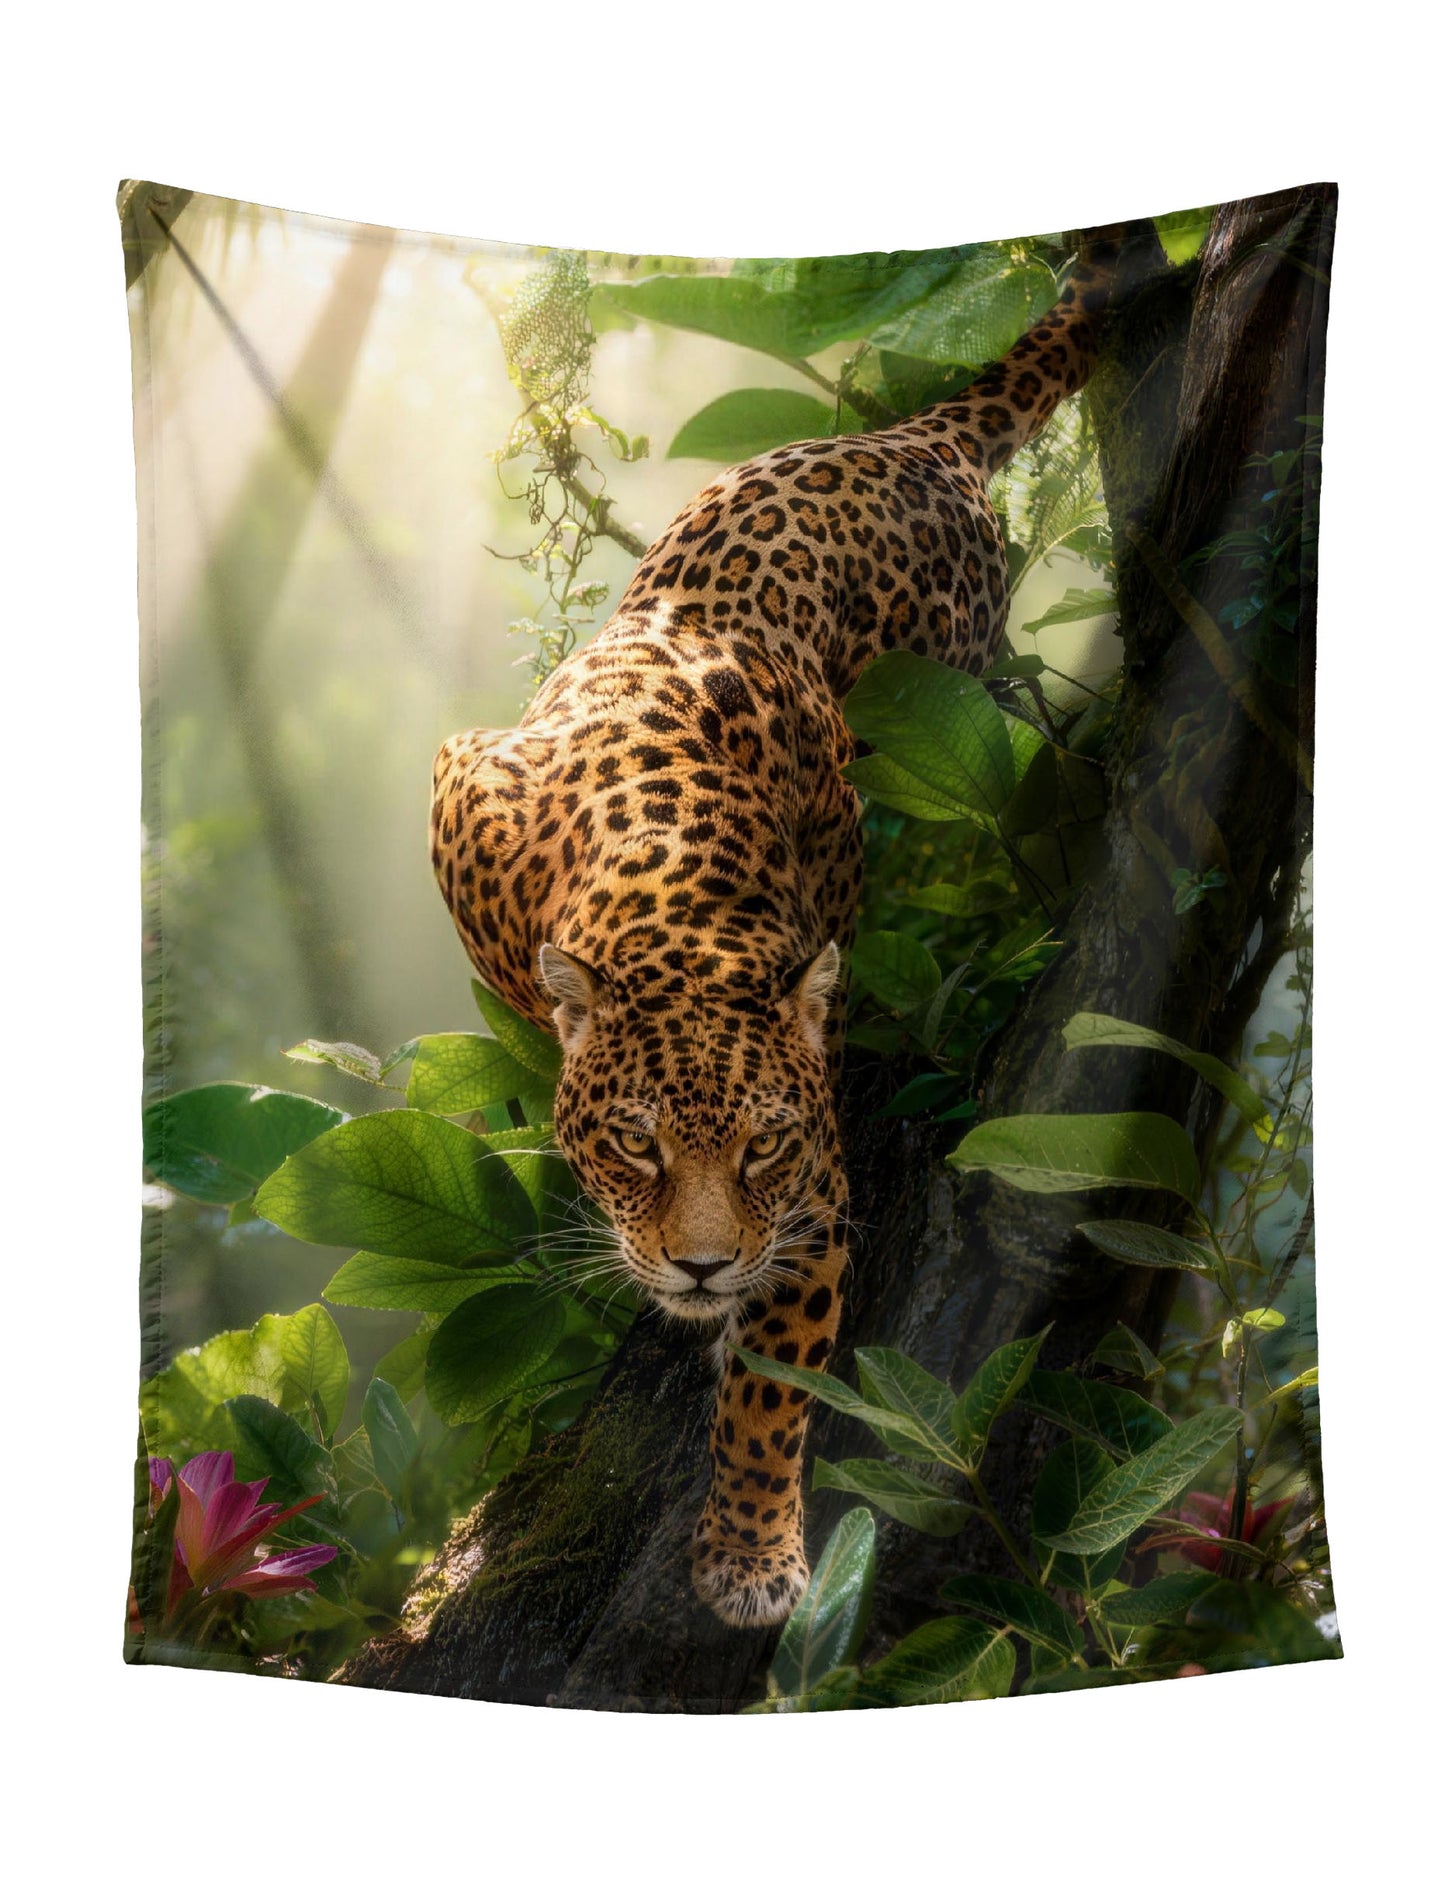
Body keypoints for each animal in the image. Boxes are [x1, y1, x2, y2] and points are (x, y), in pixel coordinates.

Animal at [430, 229, 1122, 1628]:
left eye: (758, 1148)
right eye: (635, 1143)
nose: (699, 1267)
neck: (669, 907)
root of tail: (910, 438)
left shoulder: (810, 1198)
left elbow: (770, 1384)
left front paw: (749, 1556)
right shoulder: (460, 787)